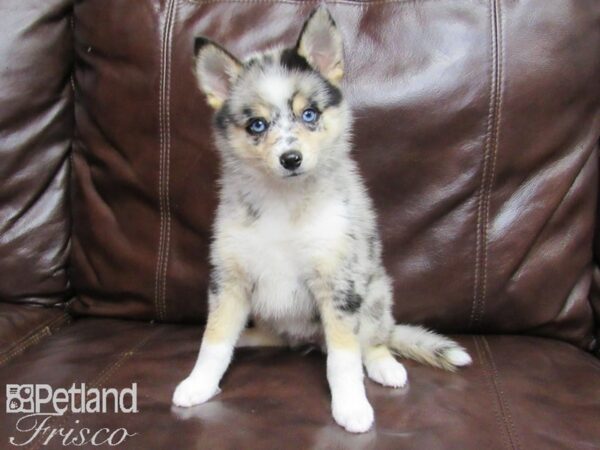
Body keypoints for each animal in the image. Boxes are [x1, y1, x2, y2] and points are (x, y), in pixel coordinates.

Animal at [171, 6, 472, 432]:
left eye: (309, 114)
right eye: (257, 125)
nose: (291, 159)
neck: (284, 200)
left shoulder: (338, 284)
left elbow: (344, 359)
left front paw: (352, 406)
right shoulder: (230, 279)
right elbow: (213, 341)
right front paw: (198, 384)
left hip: (375, 294)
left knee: (373, 339)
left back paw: (385, 366)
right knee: (273, 336)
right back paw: (248, 338)